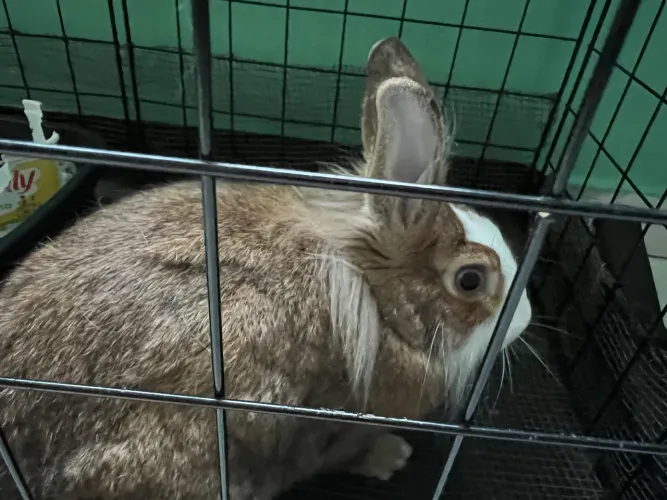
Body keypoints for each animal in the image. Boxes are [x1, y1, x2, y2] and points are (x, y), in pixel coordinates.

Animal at [0, 36, 531, 500]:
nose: (524, 319)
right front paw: (392, 456)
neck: (377, 302)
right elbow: (348, 453)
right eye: (470, 280)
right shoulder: (335, 425)